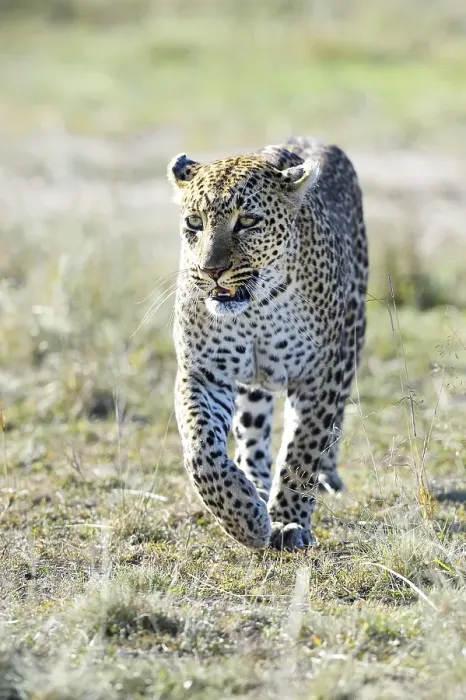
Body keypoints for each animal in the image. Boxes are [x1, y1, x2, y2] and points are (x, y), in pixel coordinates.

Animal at [167, 136, 368, 551]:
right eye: (194, 222)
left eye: (247, 222)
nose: (211, 270)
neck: (256, 309)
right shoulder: (203, 372)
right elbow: (201, 449)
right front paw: (245, 518)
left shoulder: (320, 374)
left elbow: (302, 448)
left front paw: (288, 521)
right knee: (252, 427)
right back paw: (254, 484)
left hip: (352, 340)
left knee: (334, 420)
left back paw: (326, 477)